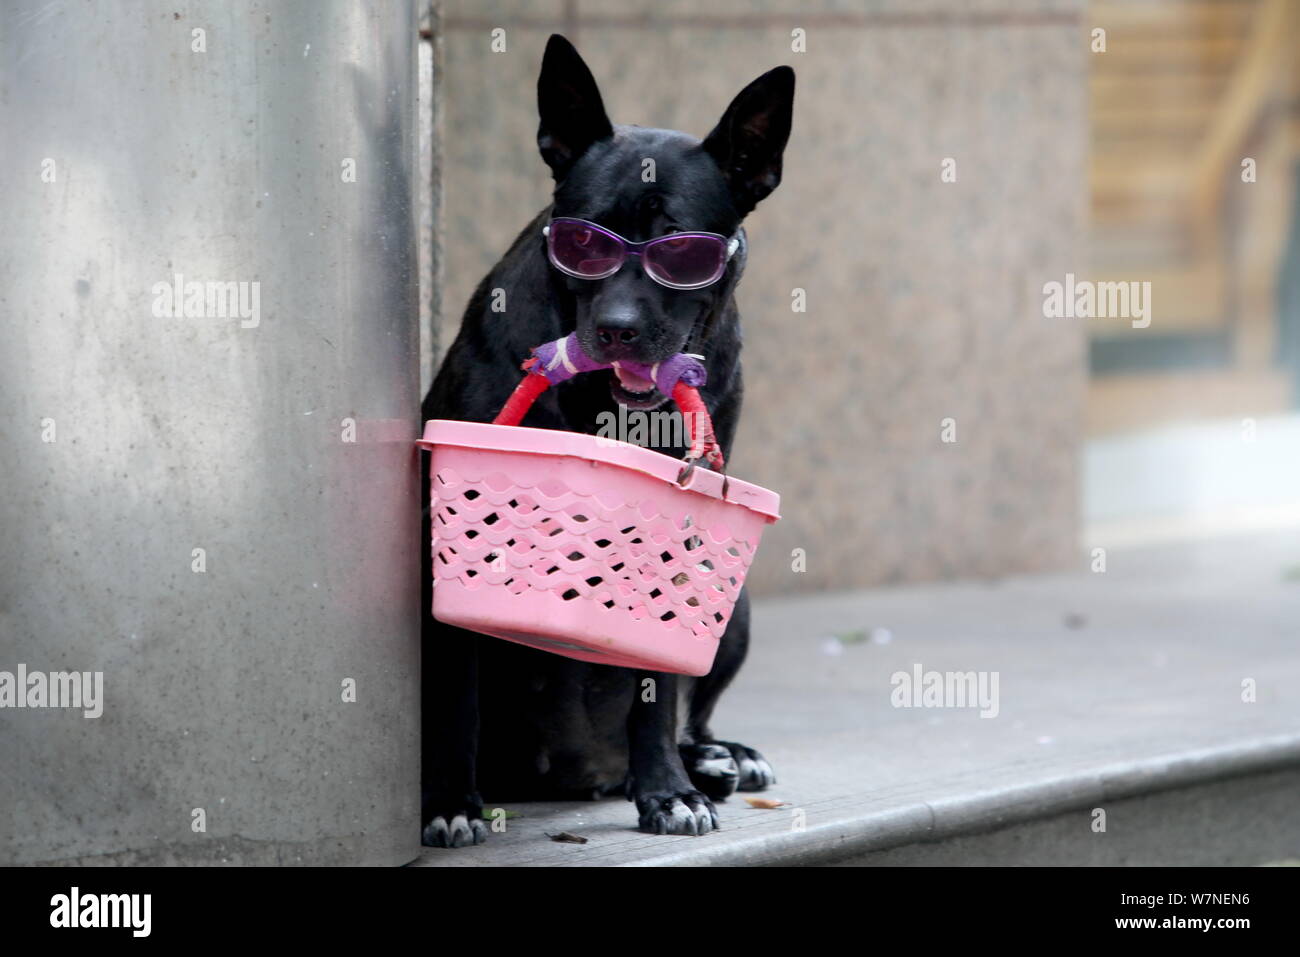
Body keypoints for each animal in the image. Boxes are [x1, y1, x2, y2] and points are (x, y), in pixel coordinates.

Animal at [426, 35, 790, 842]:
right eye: (582, 241)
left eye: (682, 251)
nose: (618, 328)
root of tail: (584, 773)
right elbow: (455, 692)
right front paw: (448, 802)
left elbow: (655, 687)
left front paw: (668, 791)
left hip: (733, 604)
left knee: (690, 712)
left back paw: (713, 759)